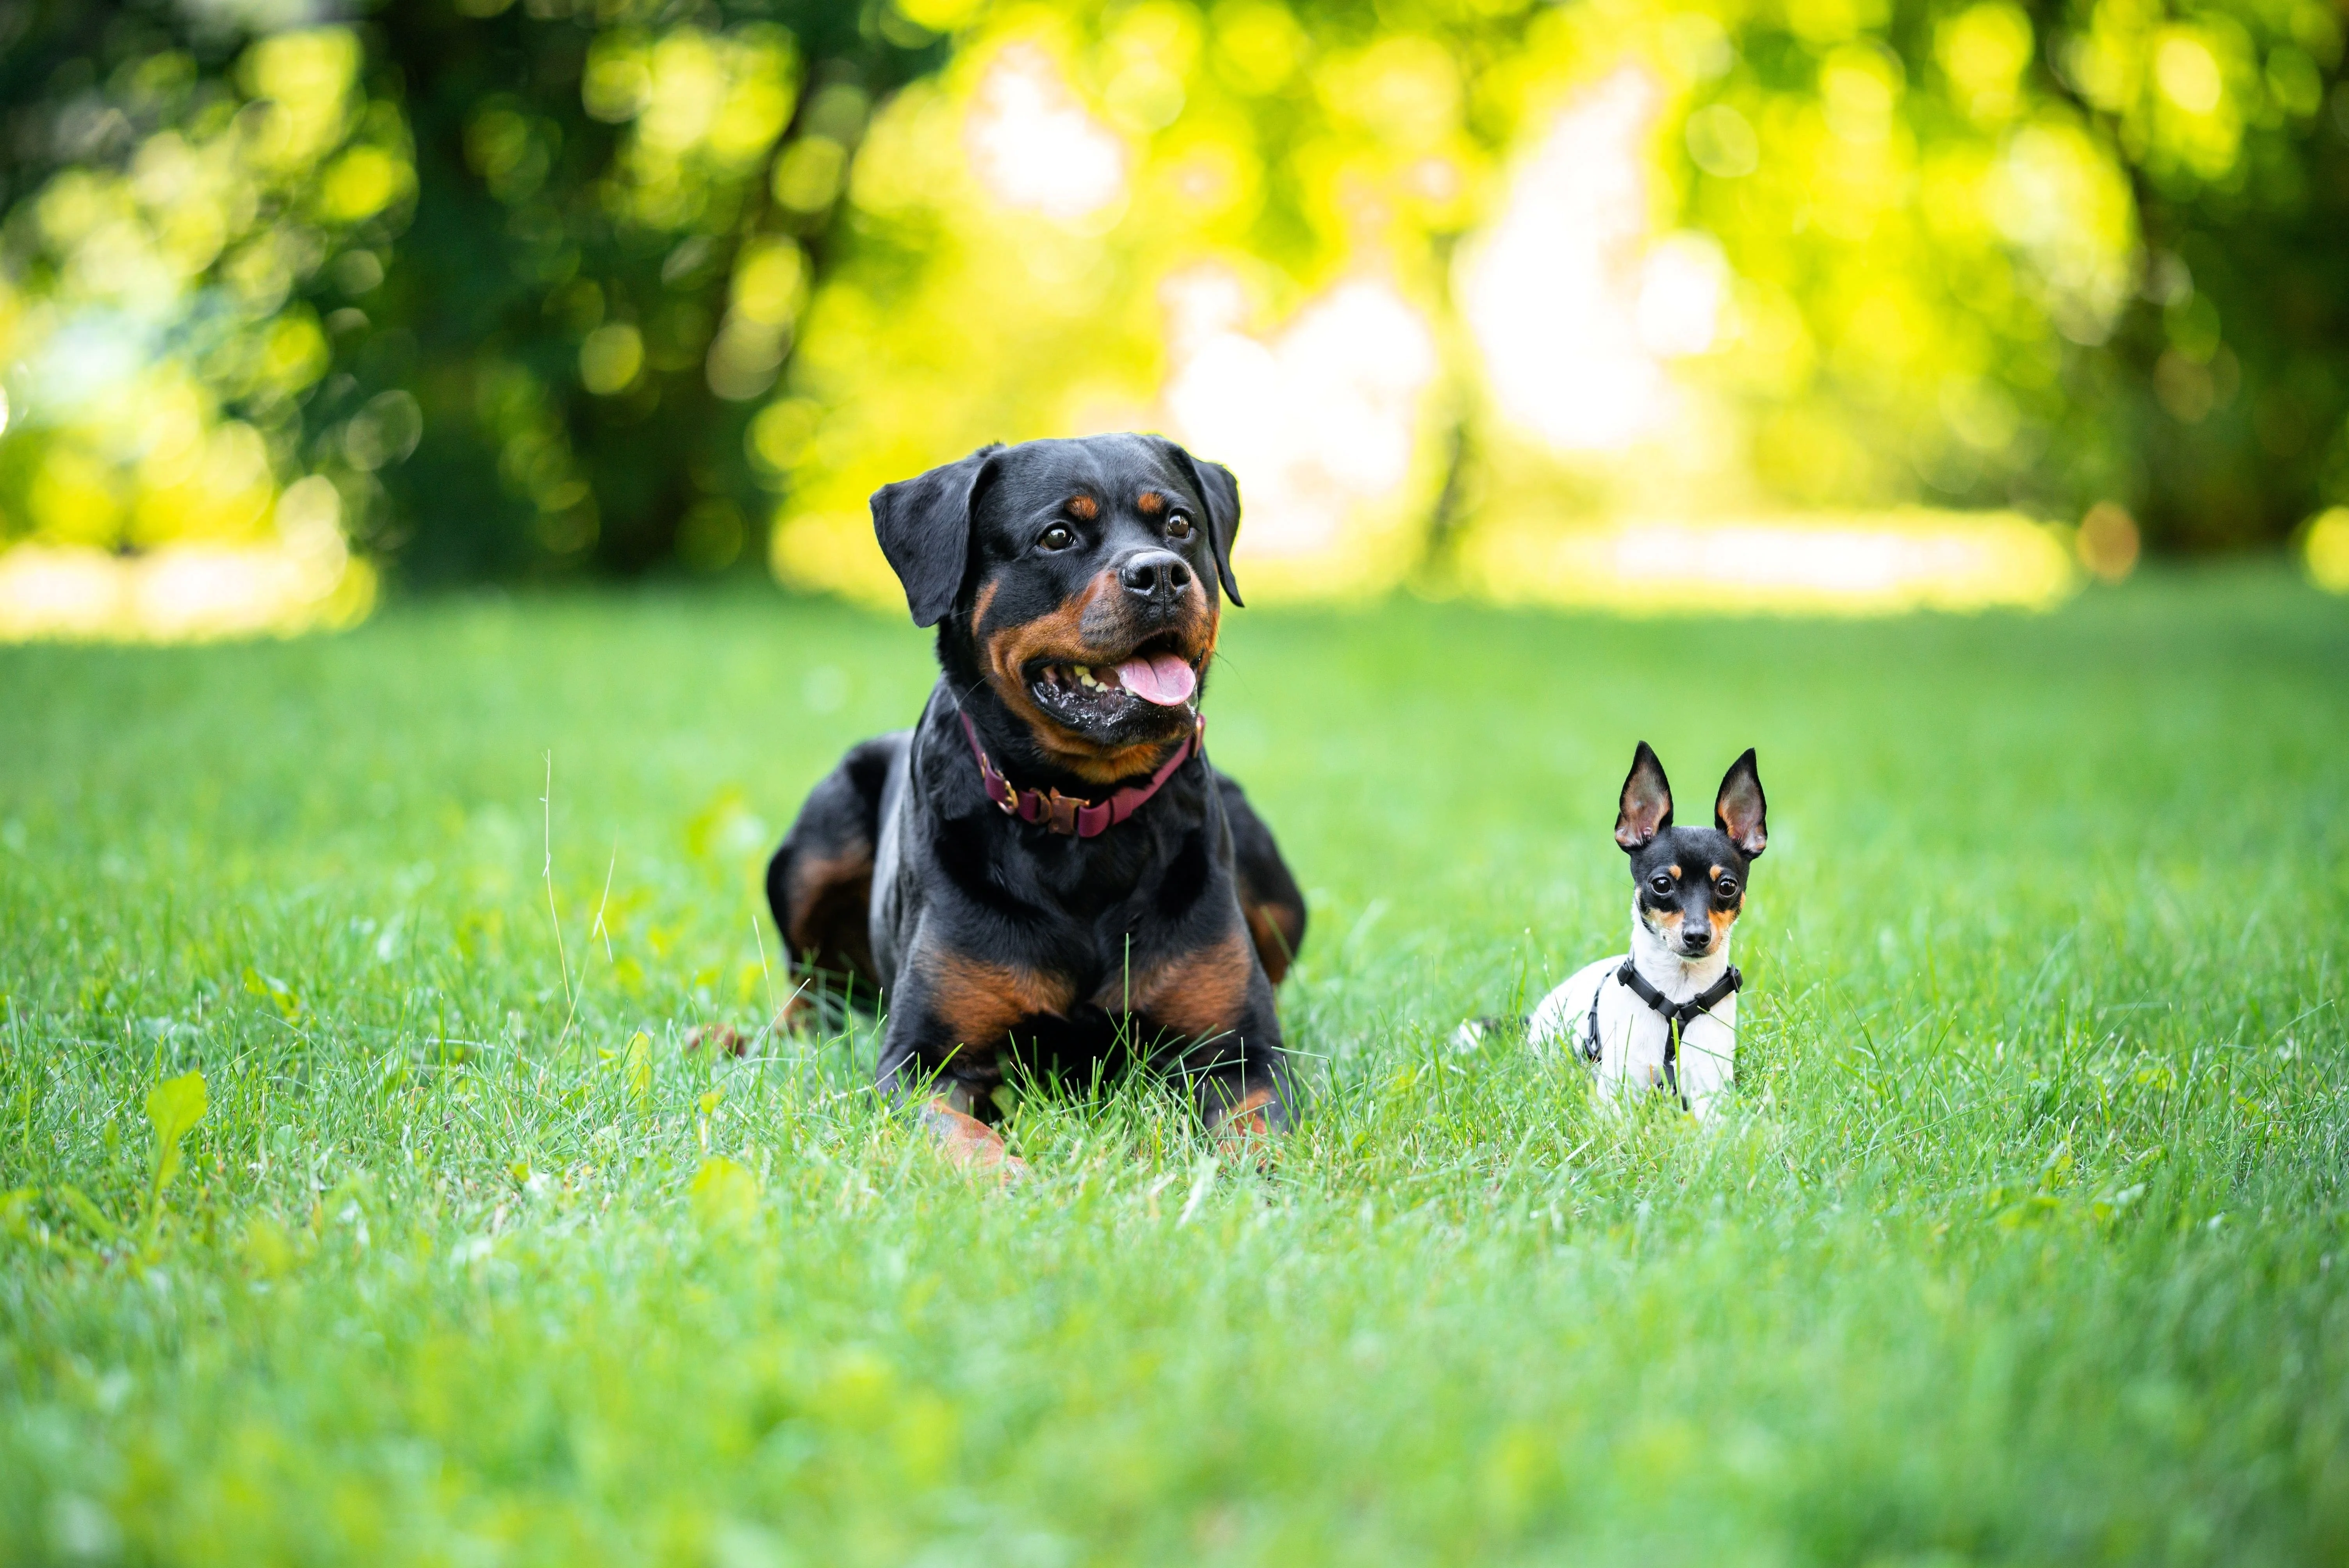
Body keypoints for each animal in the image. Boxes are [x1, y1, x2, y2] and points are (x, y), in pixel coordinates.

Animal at [775, 434, 1315, 1169]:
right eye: (1057, 536)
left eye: (1179, 525)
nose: (1162, 573)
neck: (1083, 814)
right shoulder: (922, 1061)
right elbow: (962, 1139)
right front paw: (1006, 1181)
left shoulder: (1239, 1051)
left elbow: (1257, 1129)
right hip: (817, 839)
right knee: (808, 989)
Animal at [1456, 746, 1766, 1122]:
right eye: (1662, 884)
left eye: (1727, 887)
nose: (1696, 936)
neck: (1677, 999)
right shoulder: (1617, 1094)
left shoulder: (1711, 1092)